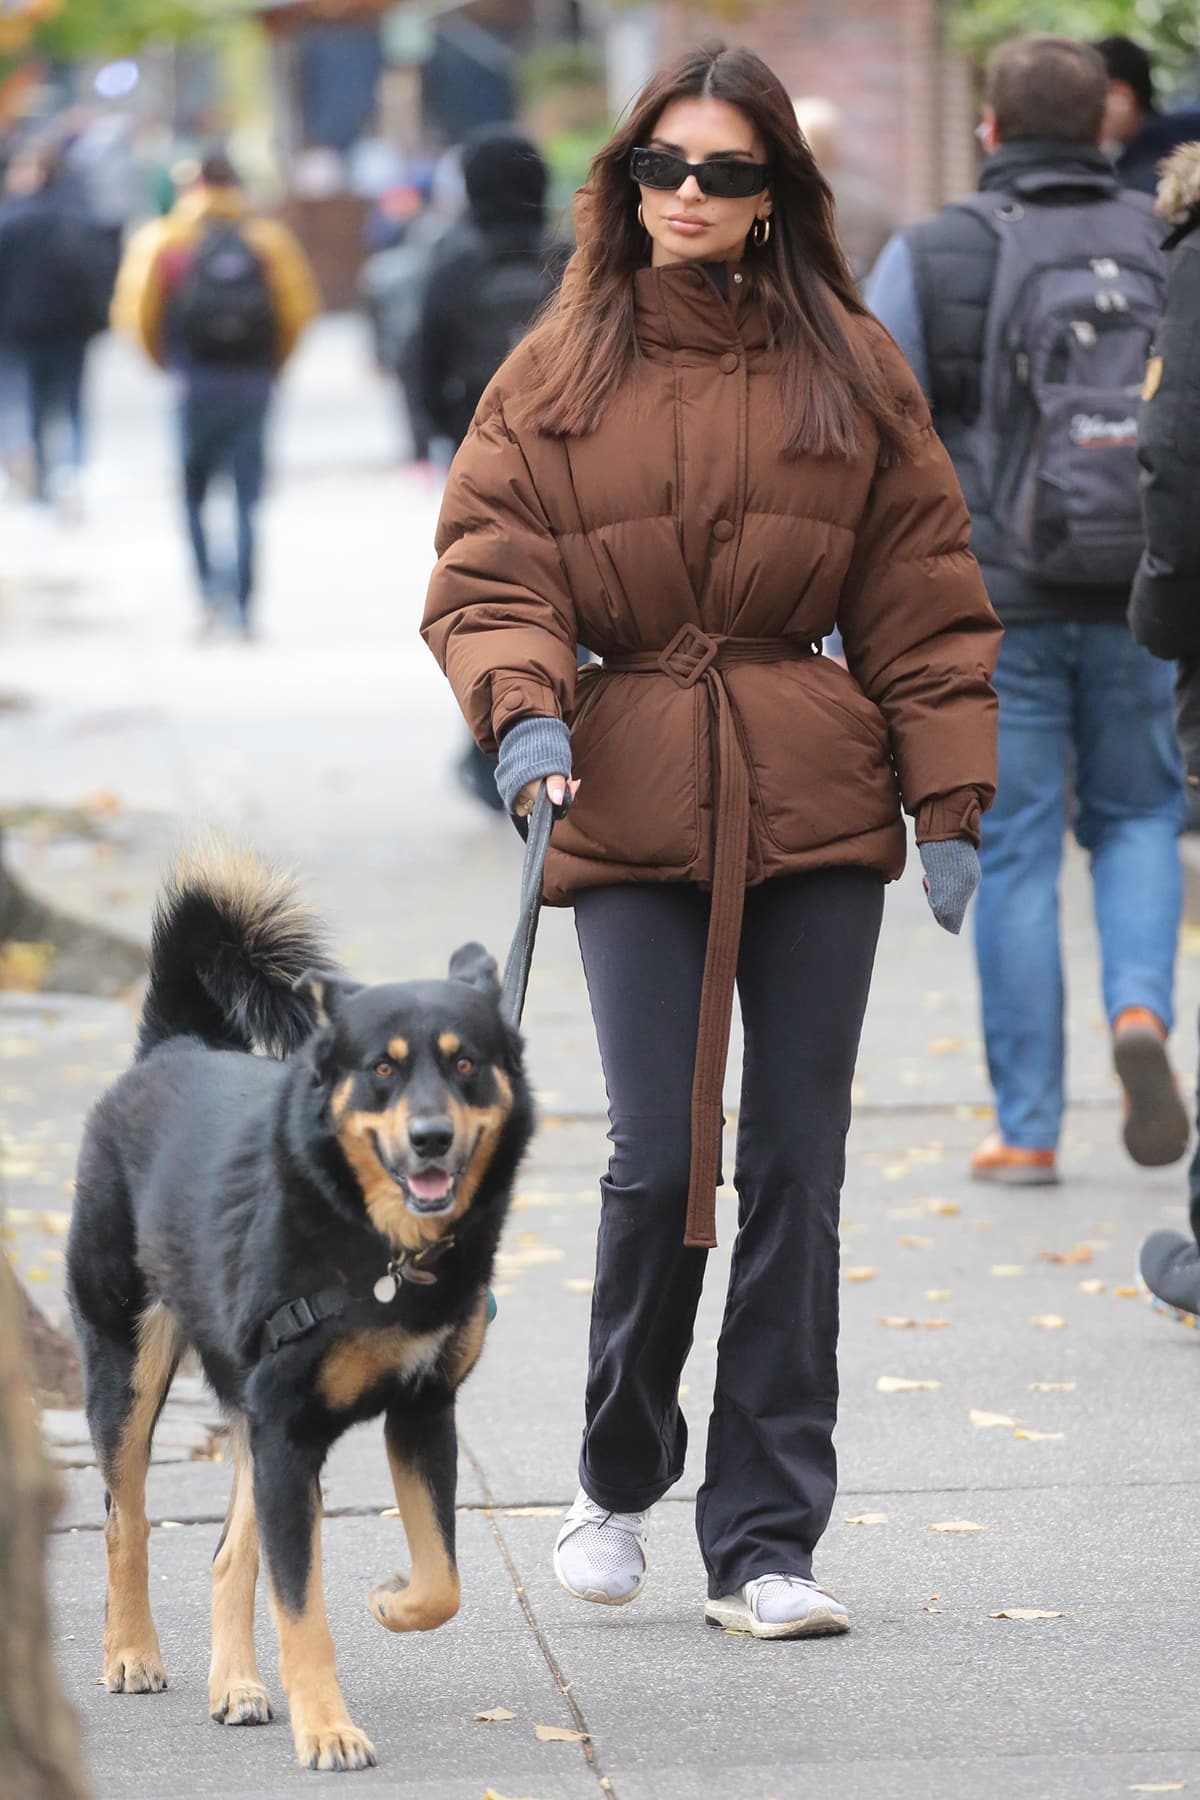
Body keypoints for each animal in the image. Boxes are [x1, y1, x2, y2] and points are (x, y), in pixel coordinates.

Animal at [67, 842, 536, 1771]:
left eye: (466, 1062)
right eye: (383, 1069)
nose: (431, 1139)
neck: (384, 1253)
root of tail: (172, 1045)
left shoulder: (418, 1412)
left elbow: (442, 1580)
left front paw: (393, 1601)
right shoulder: (288, 1429)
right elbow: (300, 1605)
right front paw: (327, 1728)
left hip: (249, 1416)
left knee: (225, 1555)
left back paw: (237, 1687)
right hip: (128, 1370)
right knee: (126, 1521)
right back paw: (132, 1652)